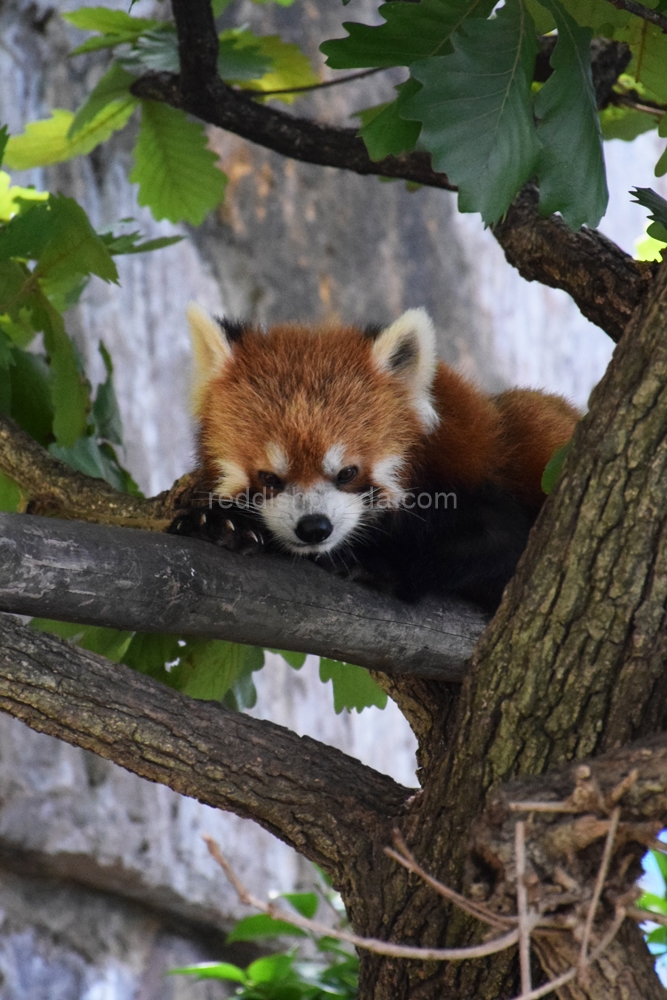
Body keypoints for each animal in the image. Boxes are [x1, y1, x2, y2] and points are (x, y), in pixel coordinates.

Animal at [171, 306, 580, 608]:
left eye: (347, 472)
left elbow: (500, 549)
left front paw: (375, 562)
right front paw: (221, 524)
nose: (314, 527)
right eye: (269, 477)